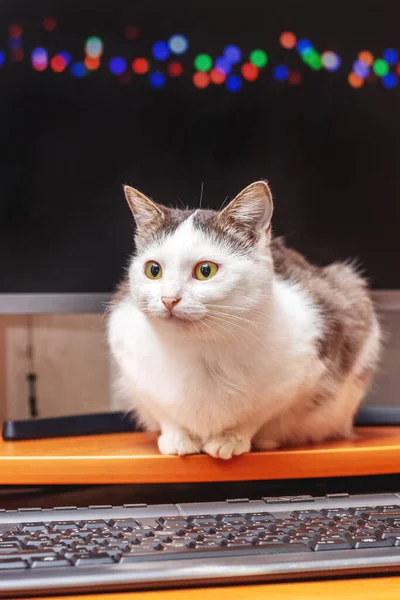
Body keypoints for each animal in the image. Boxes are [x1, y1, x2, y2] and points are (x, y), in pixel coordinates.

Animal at [107, 180, 382, 458]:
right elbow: (164, 412)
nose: (168, 299)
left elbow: (255, 416)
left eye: (205, 270)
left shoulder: (302, 372)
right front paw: (178, 438)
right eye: (153, 270)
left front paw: (230, 439)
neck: (199, 350)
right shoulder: (132, 366)